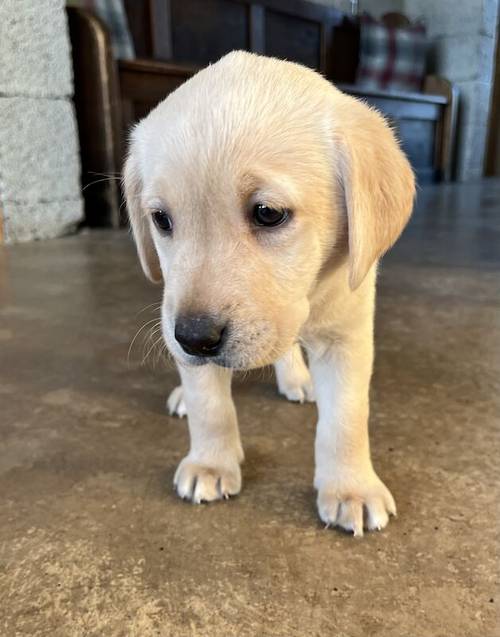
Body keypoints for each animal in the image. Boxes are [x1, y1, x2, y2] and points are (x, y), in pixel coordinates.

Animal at [125, 51, 414, 536]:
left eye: (267, 213)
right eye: (161, 220)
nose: (194, 339)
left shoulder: (348, 335)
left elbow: (346, 419)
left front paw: (350, 488)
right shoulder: (181, 315)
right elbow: (209, 405)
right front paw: (210, 462)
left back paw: (298, 377)